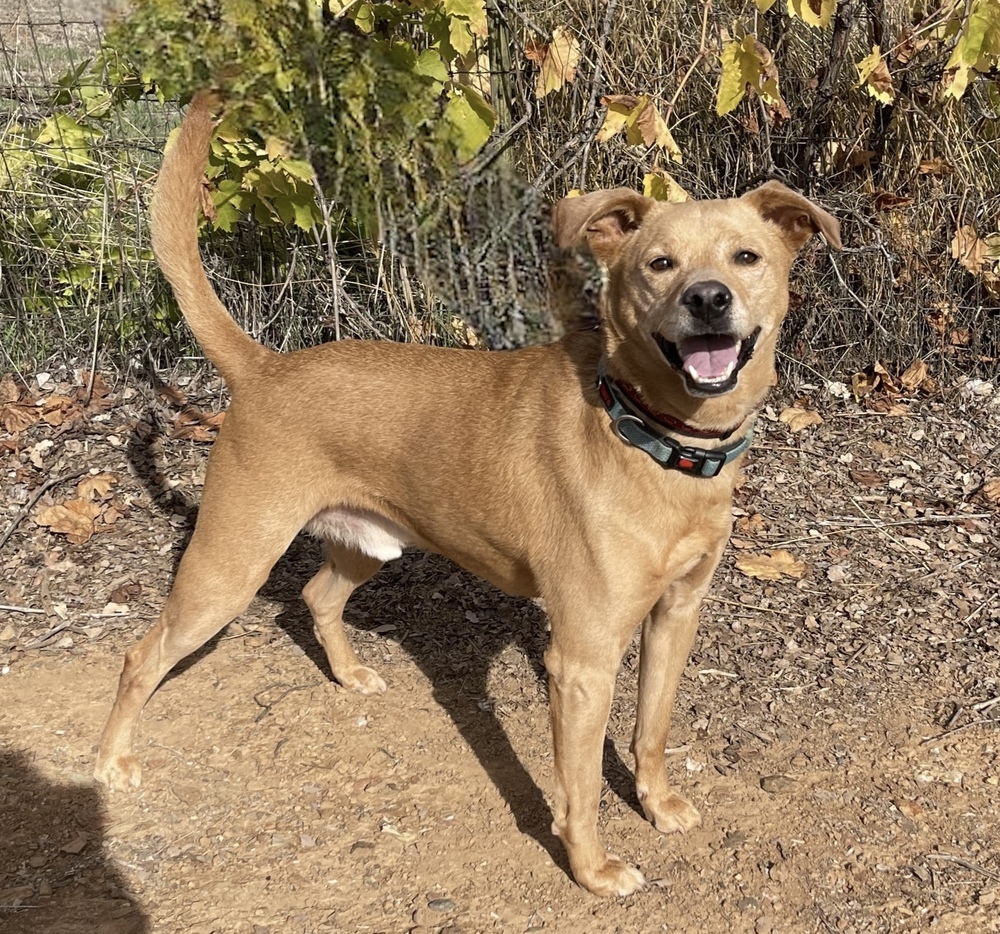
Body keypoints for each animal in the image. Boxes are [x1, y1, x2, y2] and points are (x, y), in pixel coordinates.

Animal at [97, 97, 840, 900]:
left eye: (746, 257)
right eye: (659, 264)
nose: (708, 300)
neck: (652, 439)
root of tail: (265, 367)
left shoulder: (676, 615)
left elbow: (653, 728)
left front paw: (657, 802)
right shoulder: (581, 659)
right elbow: (579, 787)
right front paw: (589, 867)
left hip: (369, 542)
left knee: (319, 597)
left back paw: (349, 673)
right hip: (229, 567)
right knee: (140, 657)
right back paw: (109, 760)